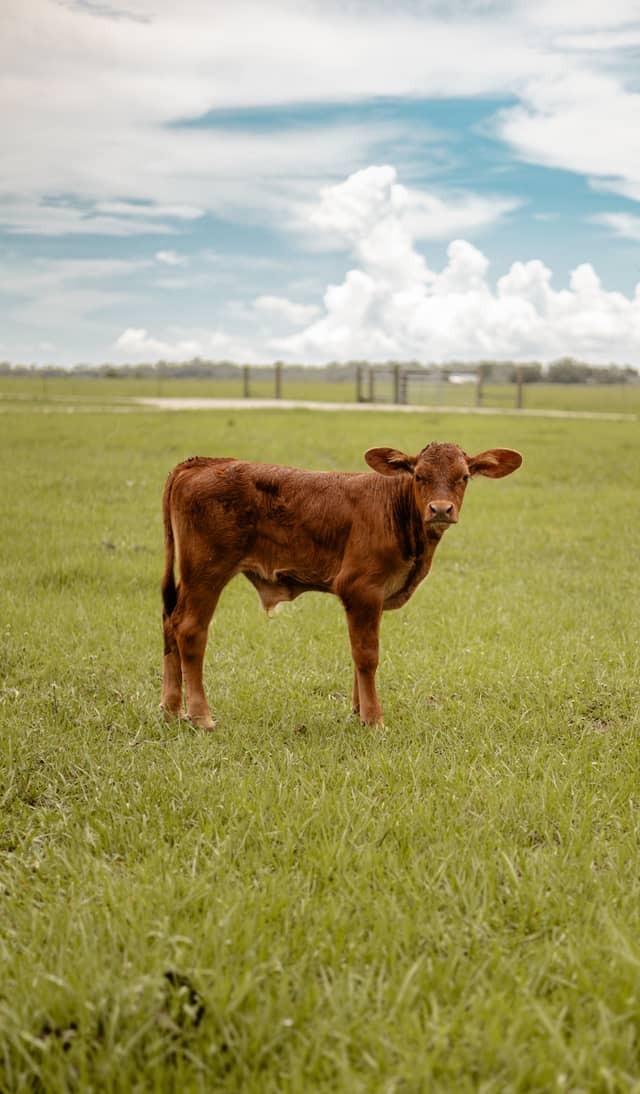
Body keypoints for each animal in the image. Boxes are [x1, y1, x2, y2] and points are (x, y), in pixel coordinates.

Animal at [161, 441, 522, 730]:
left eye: (464, 477)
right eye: (419, 476)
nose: (441, 509)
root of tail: (204, 461)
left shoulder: (371, 600)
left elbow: (357, 653)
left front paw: (358, 710)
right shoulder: (360, 588)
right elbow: (367, 655)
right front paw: (374, 719)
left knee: (169, 623)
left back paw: (172, 709)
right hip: (207, 572)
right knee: (190, 630)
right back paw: (200, 717)